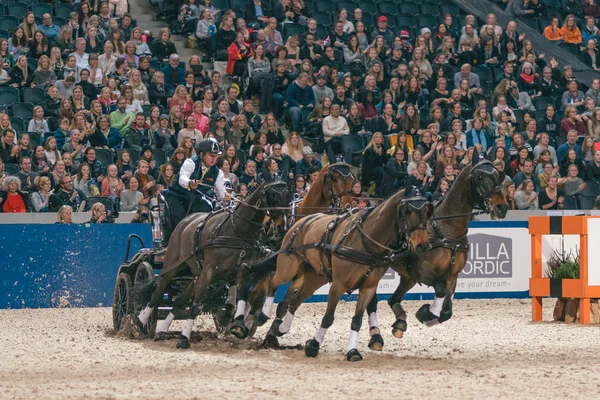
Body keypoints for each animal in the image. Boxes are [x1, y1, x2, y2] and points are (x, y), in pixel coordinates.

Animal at [139, 181, 292, 346]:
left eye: (288, 196)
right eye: (272, 196)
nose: (283, 227)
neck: (237, 232)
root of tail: (185, 221)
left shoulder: (243, 270)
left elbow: (242, 296)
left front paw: (237, 323)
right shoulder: (209, 271)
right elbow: (196, 307)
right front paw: (184, 338)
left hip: (195, 275)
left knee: (180, 300)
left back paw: (163, 328)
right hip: (172, 266)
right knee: (157, 293)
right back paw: (141, 320)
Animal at [253, 190, 432, 360]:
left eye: (426, 211)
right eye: (407, 210)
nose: (422, 245)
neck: (366, 242)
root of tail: (302, 220)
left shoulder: (368, 288)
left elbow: (357, 321)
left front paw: (352, 351)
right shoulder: (338, 286)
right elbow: (328, 318)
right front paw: (314, 345)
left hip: (316, 277)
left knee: (295, 300)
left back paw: (282, 328)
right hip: (288, 267)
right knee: (273, 283)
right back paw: (262, 315)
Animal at [364, 159, 508, 350]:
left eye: (498, 175)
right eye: (480, 177)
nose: (502, 207)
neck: (446, 230)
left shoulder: (452, 276)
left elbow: (446, 312)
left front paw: (429, 315)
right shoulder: (424, 273)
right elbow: (439, 291)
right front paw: (425, 312)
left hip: (407, 277)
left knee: (393, 299)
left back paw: (400, 323)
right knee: (372, 301)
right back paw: (376, 337)